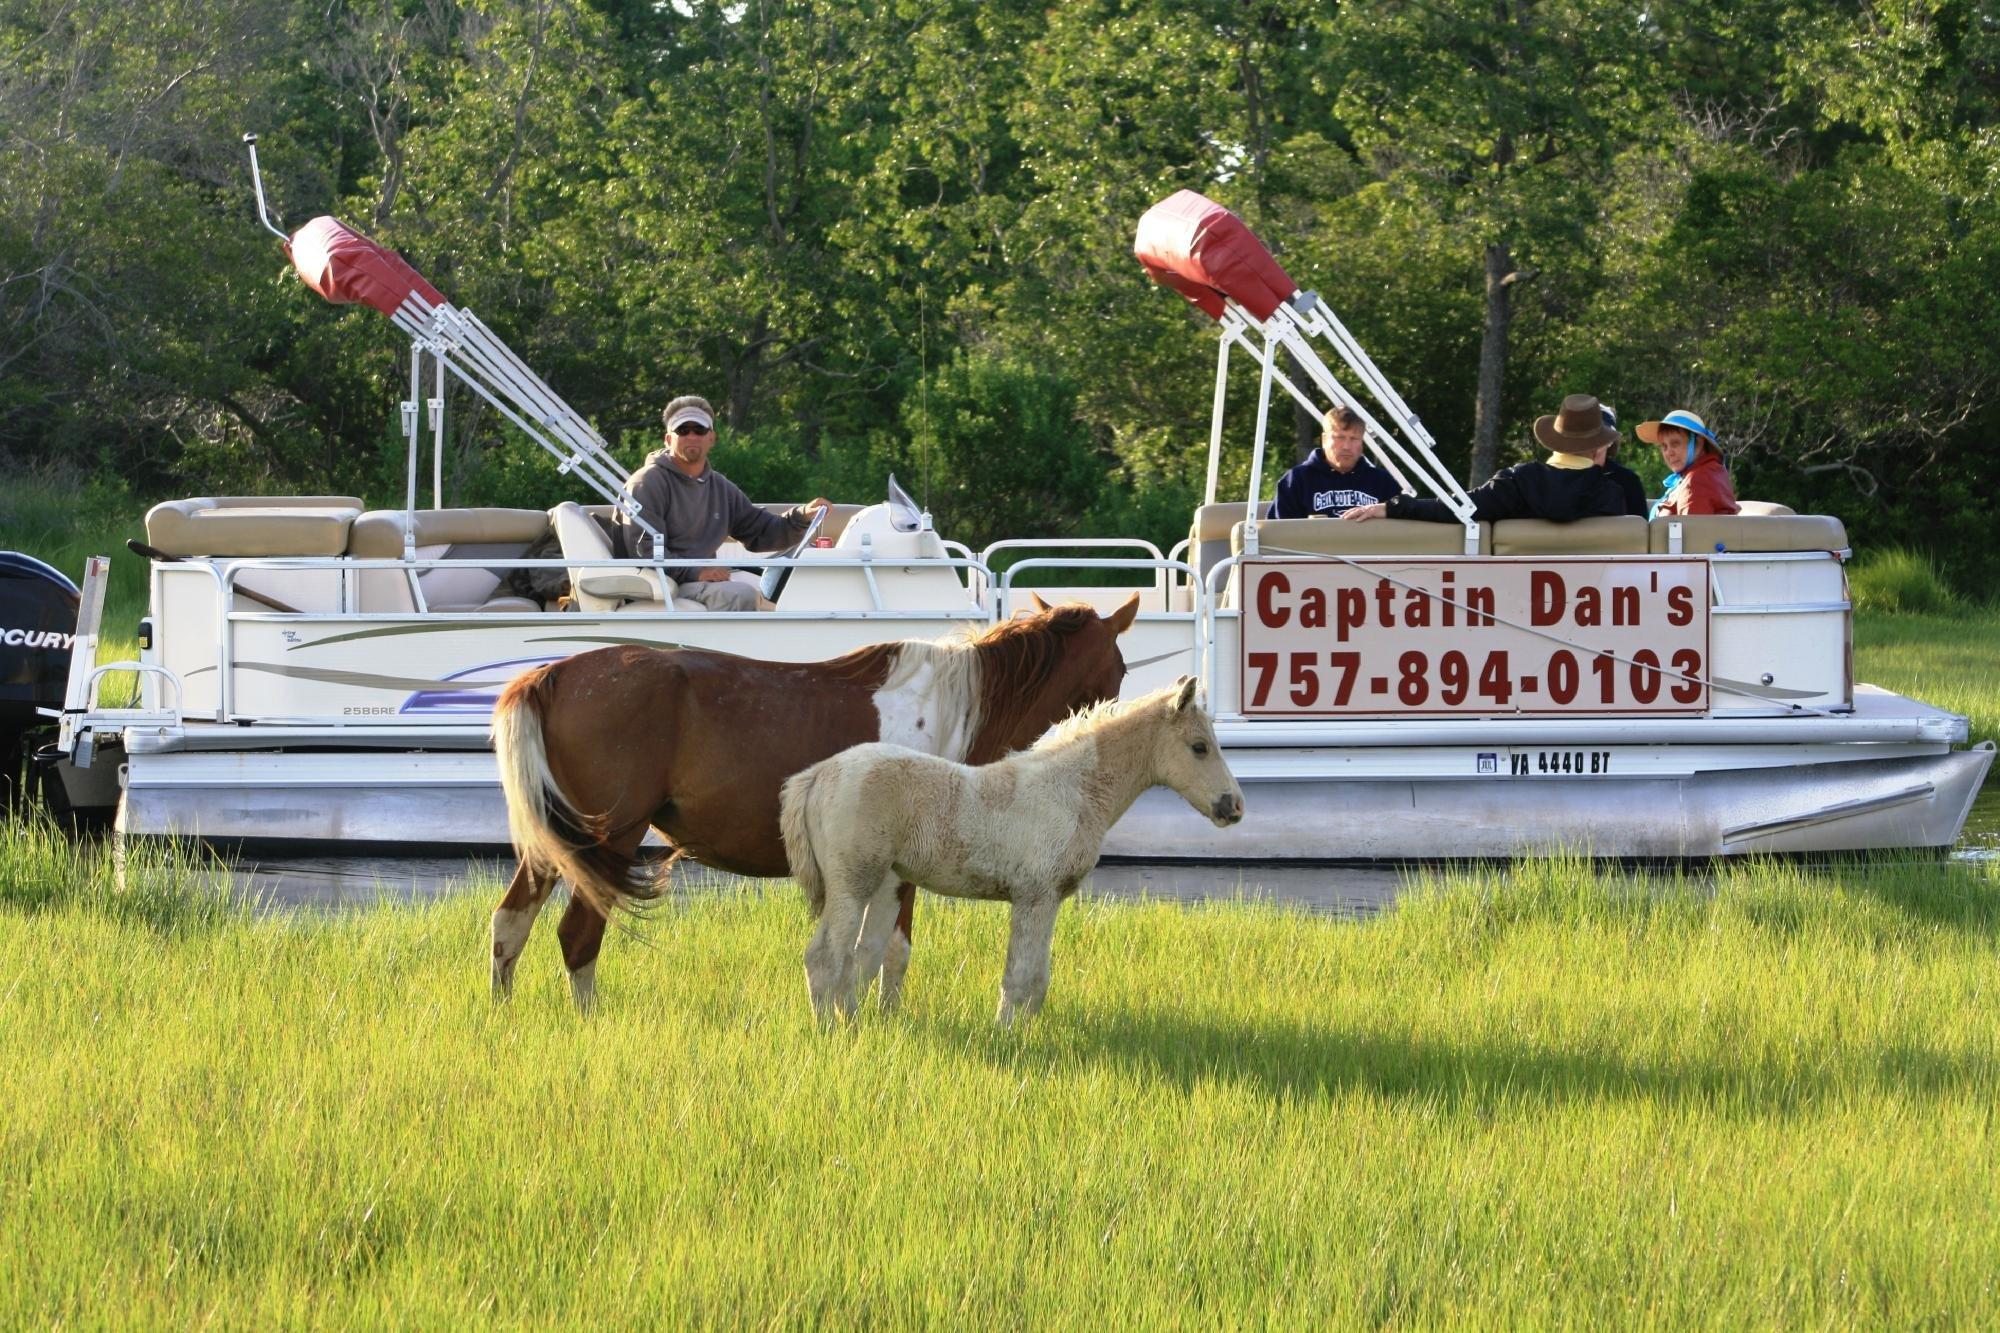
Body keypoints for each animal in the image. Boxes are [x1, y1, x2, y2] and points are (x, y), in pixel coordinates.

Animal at [490, 596, 1136, 1000]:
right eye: (1123, 666)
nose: (1114, 718)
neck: (956, 707)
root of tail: (550, 677)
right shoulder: (897, 870)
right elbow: (884, 951)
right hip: (609, 842)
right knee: (578, 937)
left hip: (556, 844)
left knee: (510, 924)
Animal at [776, 676, 1232, 1024]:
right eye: (1199, 747)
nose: (1233, 806)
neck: (1070, 790)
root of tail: (817, 775)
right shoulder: (1034, 896)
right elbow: (1019, 977)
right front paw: (1006, 1034)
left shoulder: (1050, 900)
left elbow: (1039, 980)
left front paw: (1027, 1033)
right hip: (852, 884)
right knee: (825, 958)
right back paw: (833, 1030)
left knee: (845, 960)